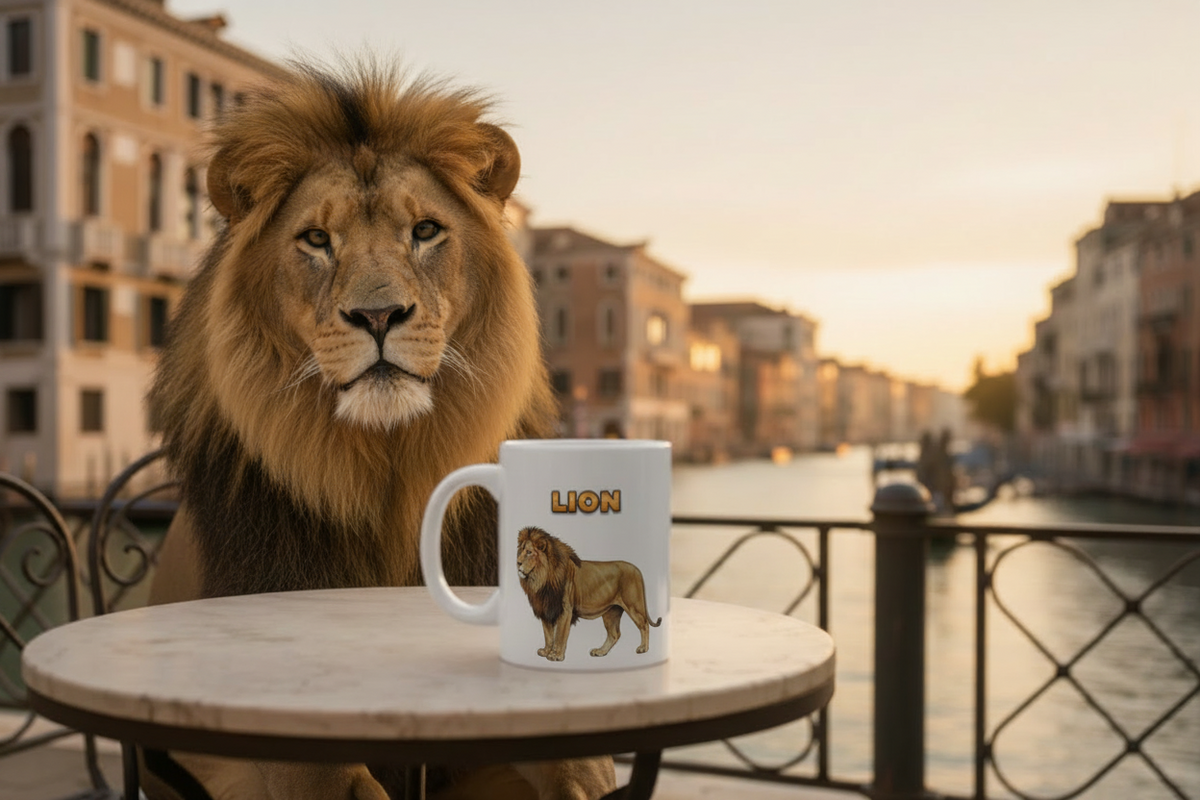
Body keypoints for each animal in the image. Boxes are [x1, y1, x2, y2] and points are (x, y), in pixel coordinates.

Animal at [516, 527, 662, 662]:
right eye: (521, 551)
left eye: (529, 552)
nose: (517, 562)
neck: (542, 579)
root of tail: (637, 569)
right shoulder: (545, 609)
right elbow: (548, 634)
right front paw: (546, 651)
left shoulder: (565, 610)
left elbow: (559, 635)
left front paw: (556, 655)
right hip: (611, 611)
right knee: (614, 634)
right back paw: (600, 652)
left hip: (633, 606)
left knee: (644, 625)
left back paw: (643, 648)